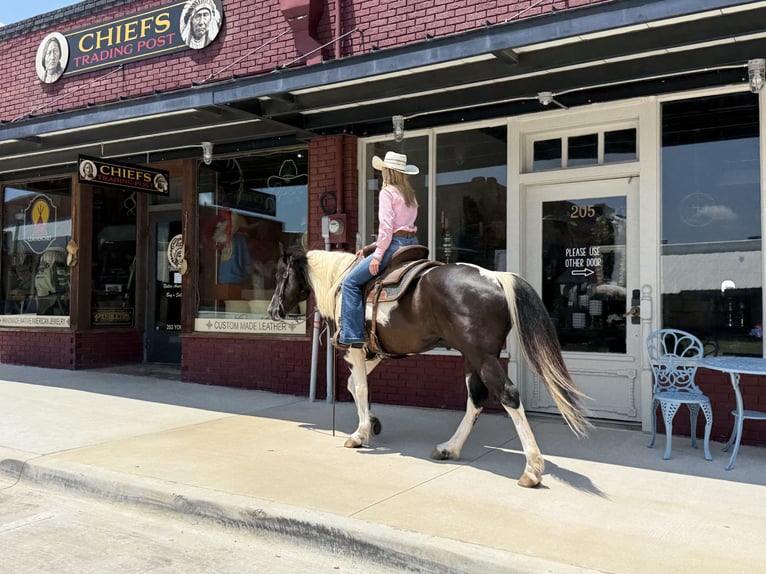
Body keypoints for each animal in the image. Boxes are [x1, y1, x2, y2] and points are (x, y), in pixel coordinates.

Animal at [268, 245, 591, 487]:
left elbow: (359, 388)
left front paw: (359, 434)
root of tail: (496, 277)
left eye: (281, 274)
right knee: (476, 398)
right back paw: (450, 447)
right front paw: (373, 423)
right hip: (471, 355)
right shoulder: (375, 352)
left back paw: (532, 470)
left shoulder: (356, 348)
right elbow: (354, 386)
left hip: (483, 356)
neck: (339, 281)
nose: (273, 311)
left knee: (508, 395)